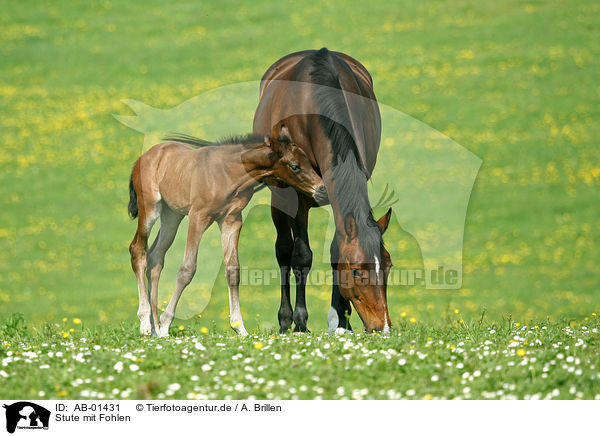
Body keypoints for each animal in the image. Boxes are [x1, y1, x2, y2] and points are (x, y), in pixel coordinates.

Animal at [127, 126, 328, 338]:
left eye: (308, 161)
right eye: (295, 166)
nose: (323, 190)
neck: (227, 173)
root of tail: (144, 157)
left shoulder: (231, 220)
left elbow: (233, 270)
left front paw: (240, 327)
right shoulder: (198, 217)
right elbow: (187, 269)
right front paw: (166, 323)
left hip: (172, 215)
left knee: (155, 256)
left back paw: (155, 328)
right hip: (150, 209)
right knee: (138, 250)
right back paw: (146, 323)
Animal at [253, 48, 394, 334]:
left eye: (388, 265)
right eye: (356, 271)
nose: (382, 326)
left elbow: (336, 250)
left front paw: (341, 320)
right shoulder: (297, 196)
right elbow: (300, 256)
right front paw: (300, 322)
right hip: (281, 198)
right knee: (284, 250)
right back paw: (286, 320)